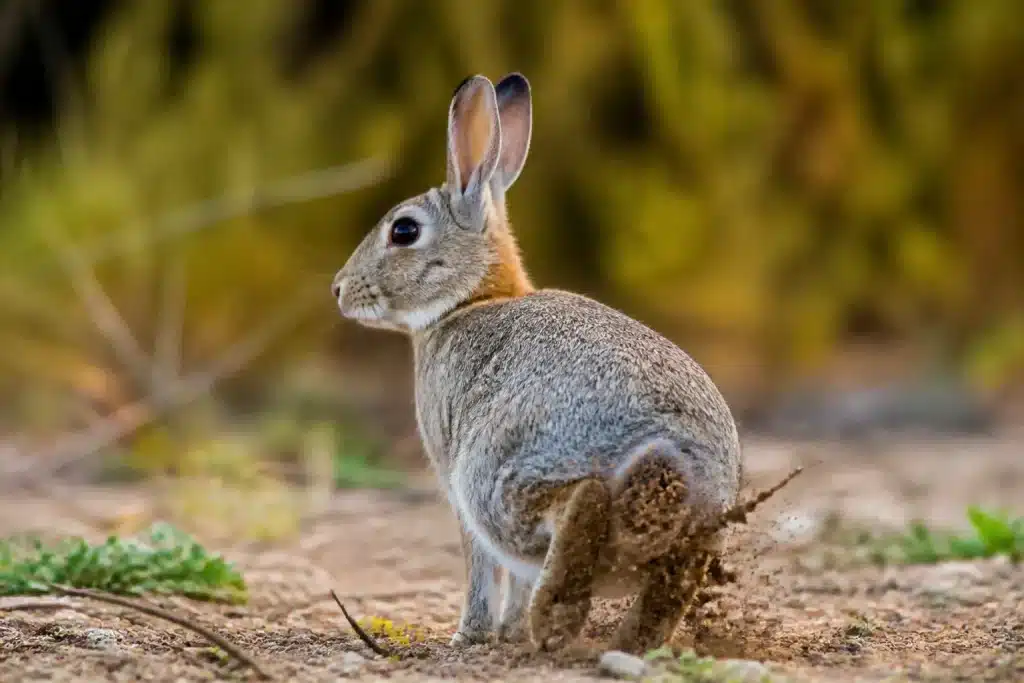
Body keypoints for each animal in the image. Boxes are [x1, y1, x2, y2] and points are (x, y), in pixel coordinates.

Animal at [331, 72, 742, 654]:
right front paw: (509, 633)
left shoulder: (454, 480)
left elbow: (482, 568)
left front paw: (473, 636)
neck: (469, 300)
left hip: (495, 476)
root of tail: (679, 458)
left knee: (567, 512)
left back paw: (552, 625)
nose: (339, 289)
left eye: (404, 231)